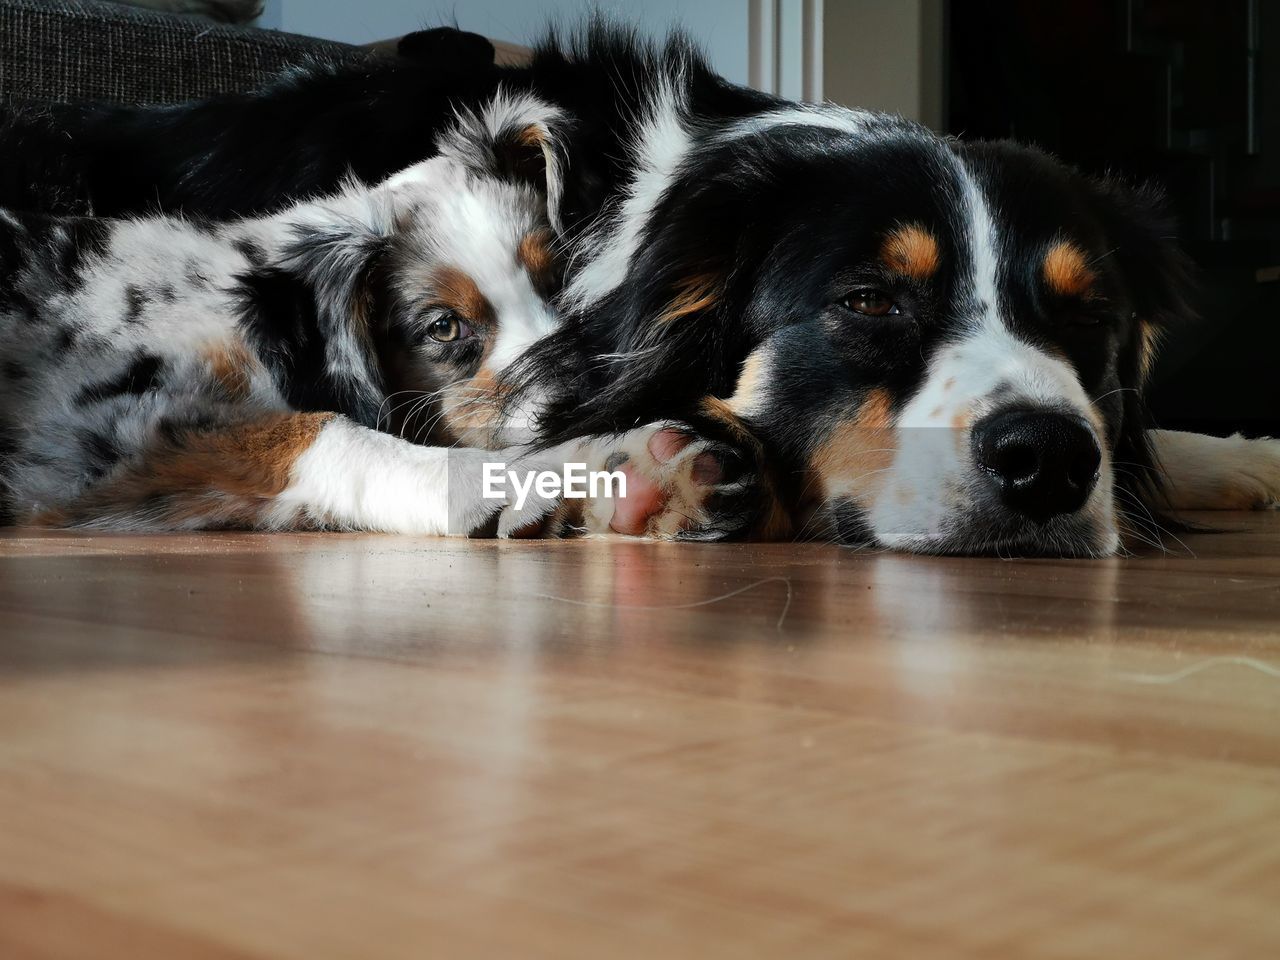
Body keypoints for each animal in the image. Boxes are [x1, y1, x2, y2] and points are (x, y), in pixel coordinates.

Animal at [2, 24, 1280, 555]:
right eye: (868, 302)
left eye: (1087, 317)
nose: (1047, 463)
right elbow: (327, 435)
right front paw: (603, 472)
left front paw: (1236, 460)